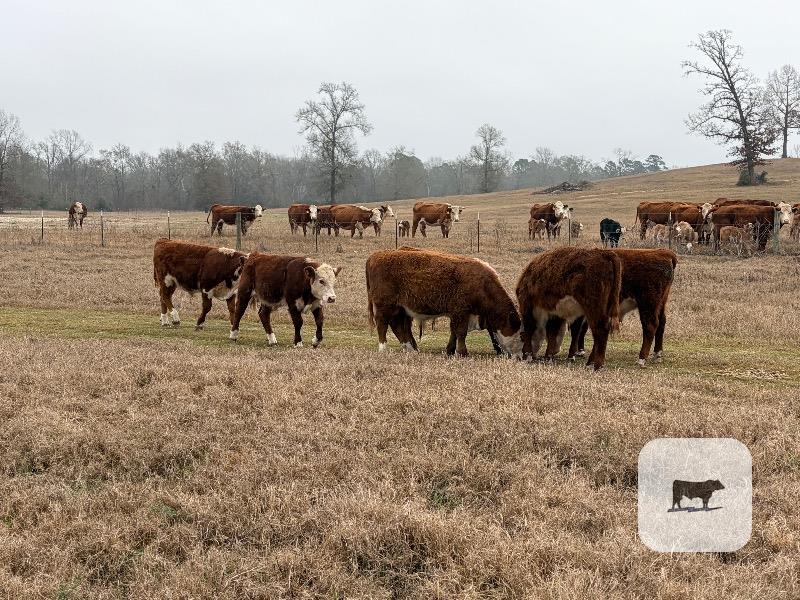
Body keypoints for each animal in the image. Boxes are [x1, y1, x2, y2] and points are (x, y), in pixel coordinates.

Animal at [365, 247, 523, 357]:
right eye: (521, 336)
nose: (522, 356)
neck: (482, 284)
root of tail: (376, 256)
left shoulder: (458, 314)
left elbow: (454, 332)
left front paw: (450, 350)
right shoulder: (461, 312)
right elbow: (460, 332)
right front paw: (462, 352)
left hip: (400, 309)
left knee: (398, 326)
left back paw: (411, 350)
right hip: (385, 306)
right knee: (382, 325)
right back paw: (384, 349)